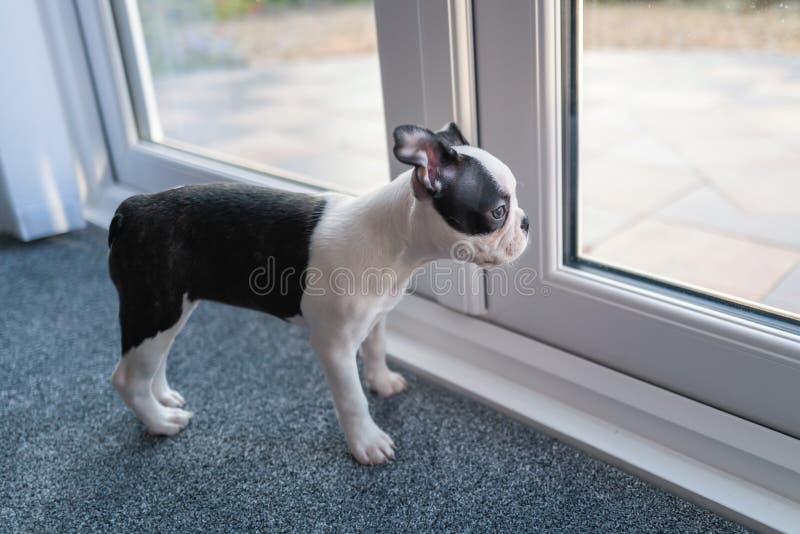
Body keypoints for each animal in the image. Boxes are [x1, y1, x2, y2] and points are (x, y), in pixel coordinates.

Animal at [108, 123, 532, 466]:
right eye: (498, 212)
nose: (526, 222)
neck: (394, 239)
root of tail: (132, 208)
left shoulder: (376, 316)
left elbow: (377, 348)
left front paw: (382, 381)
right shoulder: (334, 346)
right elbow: (353, 399)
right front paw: (367, 444)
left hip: (169, 311)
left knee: (154, 361)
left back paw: (163, 398)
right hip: (155, 308)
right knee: (127, 378)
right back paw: (160, 422)